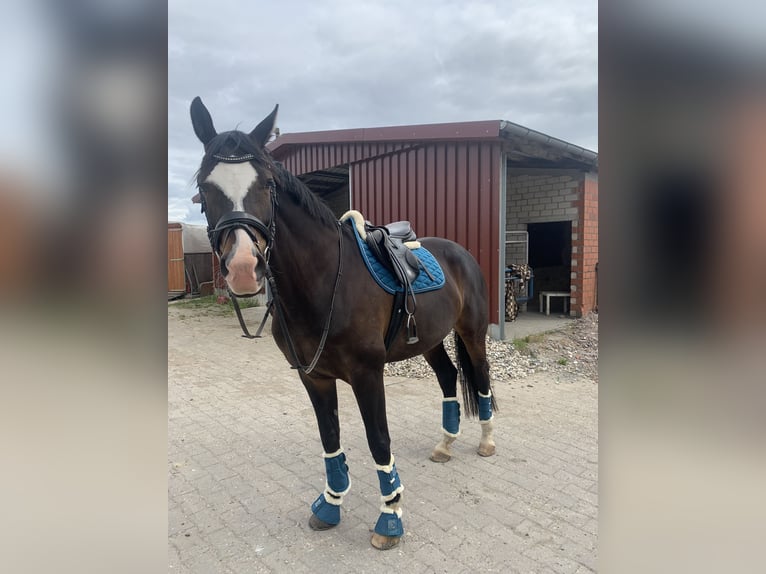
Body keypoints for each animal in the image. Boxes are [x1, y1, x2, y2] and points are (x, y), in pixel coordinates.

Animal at [189, 97, 497, 550]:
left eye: (267, 185)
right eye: (205, 188)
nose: (244, 269)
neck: (324, 283)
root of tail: (460, 252)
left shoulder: (368, 374)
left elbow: (379, 440)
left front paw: (390, 519)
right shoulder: (313, 376)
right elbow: (330, 438)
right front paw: (330, 505)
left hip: (472, 332)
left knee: (480, 375)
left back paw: (487, 440)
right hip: (429, 340)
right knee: (447, 376)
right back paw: (445, 444)